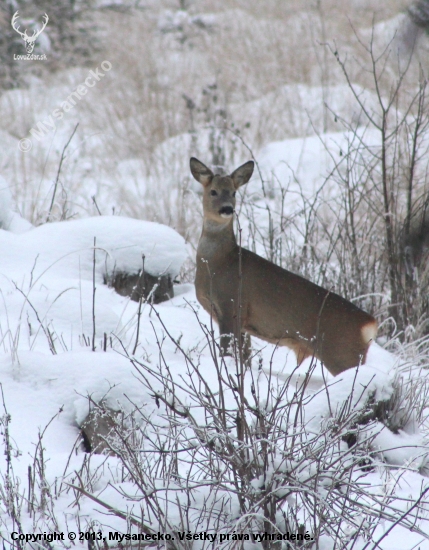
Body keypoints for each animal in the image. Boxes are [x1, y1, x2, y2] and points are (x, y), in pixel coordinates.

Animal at [189, 157, 376, 378]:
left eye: (234, 192)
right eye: (213, 191)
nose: (227, 209)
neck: (218, 262)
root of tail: (369, 324)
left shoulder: (231, 305)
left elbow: (226, 353)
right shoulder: (243, 323)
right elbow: (245, 358)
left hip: (342, 353)